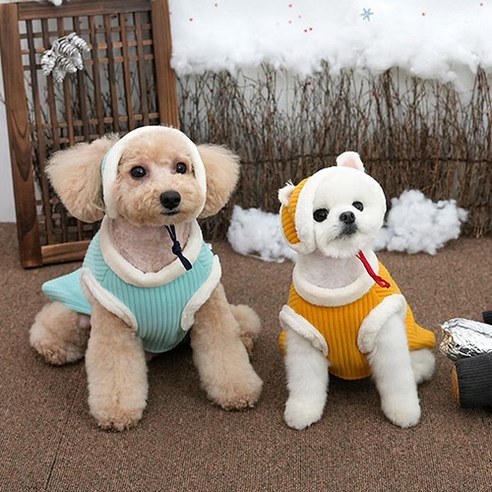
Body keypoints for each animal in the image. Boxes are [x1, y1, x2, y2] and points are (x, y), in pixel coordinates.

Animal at [278, 152, 436, 428]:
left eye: (358, 205)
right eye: (320, 214)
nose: (348, 216)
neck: (337, 274)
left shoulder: (384, 330)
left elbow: (397, 379)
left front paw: (403, 411)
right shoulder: (304, 337)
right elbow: (305, 383)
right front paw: (302, 411)